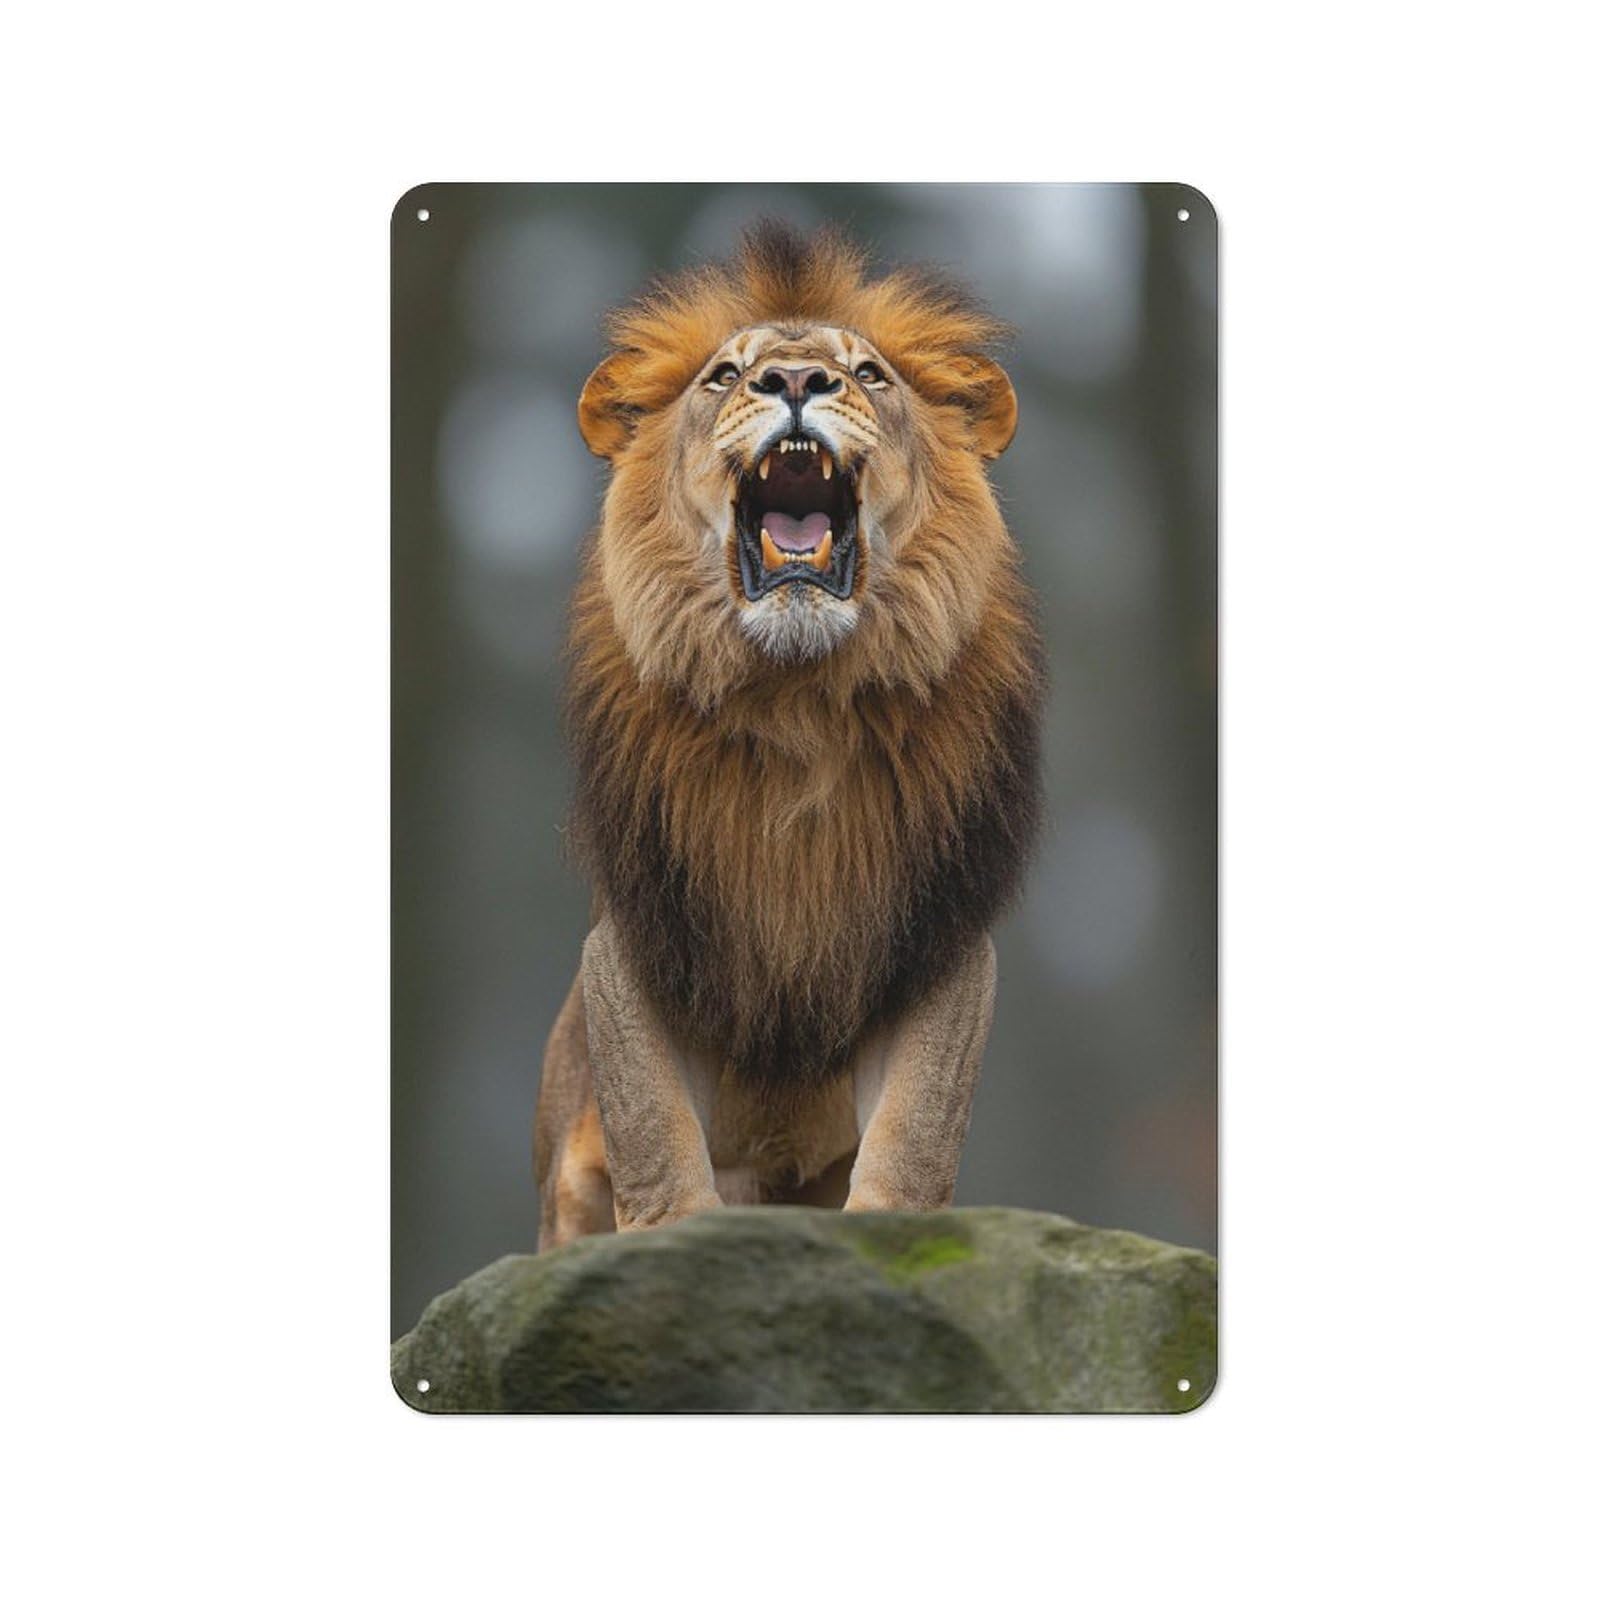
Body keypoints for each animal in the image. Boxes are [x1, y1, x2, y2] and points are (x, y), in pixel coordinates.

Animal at [533, 222, 1043, 1247]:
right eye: (726, 375)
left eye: (869, 374)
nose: (799, 381)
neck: (796, 697)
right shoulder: (641, 933)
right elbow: (652, 1124)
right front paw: (674, 1238)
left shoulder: (937, 936)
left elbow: (916, 1127)